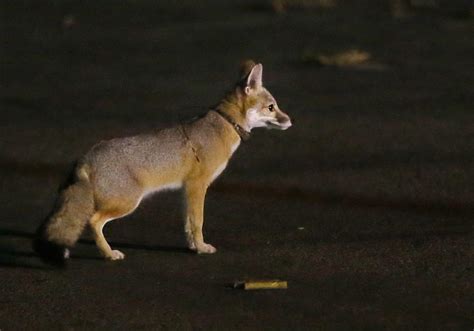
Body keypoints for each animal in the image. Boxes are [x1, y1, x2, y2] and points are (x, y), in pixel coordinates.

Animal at [33, 60, 290, 268]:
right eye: (271, 107)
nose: (290, 121)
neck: (224, 124)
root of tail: (87, 156)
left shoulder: (187, 189)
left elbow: (188, 223)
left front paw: (193, 247)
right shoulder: (198, 185)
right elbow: (198, 221)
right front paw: (202, 247)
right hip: (128, 202)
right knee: (93, 221)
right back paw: (109, 254)